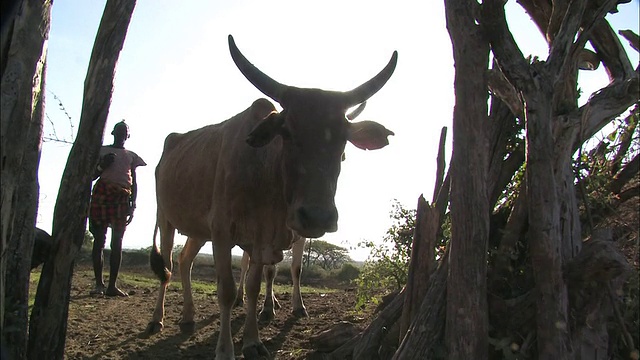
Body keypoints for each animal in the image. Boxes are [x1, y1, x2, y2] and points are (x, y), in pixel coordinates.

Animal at [148, 34, 398, 360]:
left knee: (184, 260)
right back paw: (157, 319)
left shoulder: (261, 237)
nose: (317, 216)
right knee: (166, 268)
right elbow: (227, 290)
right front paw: (226, 349)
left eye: (344, 138)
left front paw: (253, 340)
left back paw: (188, 316)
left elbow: (256, 284)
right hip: (165, 219)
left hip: (198, 229)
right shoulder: (223, 230)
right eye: (287, 132)